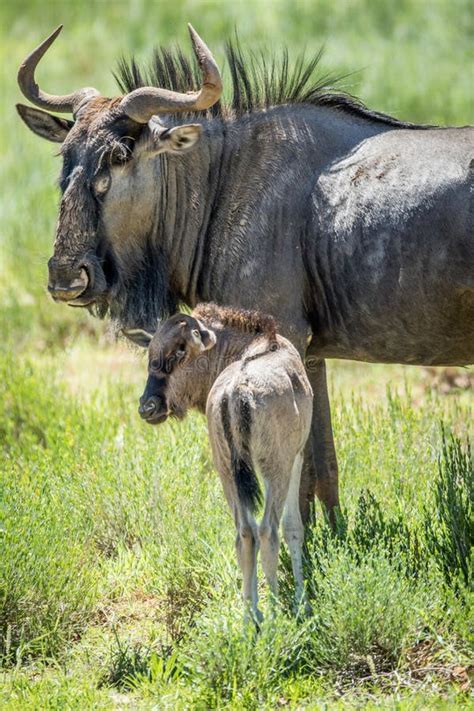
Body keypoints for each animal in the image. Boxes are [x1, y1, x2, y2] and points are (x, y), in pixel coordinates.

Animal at [124, 304, 312, 620]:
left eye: (180, 350)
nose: (147, 406)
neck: (252, 345)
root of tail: (238, 390)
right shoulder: (296, 456)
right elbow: (293, 527)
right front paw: (302, 602)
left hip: (225, 470)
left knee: (245, 533)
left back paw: (251, 617)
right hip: (275, 469)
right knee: (267, 531)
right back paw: (274, 615)